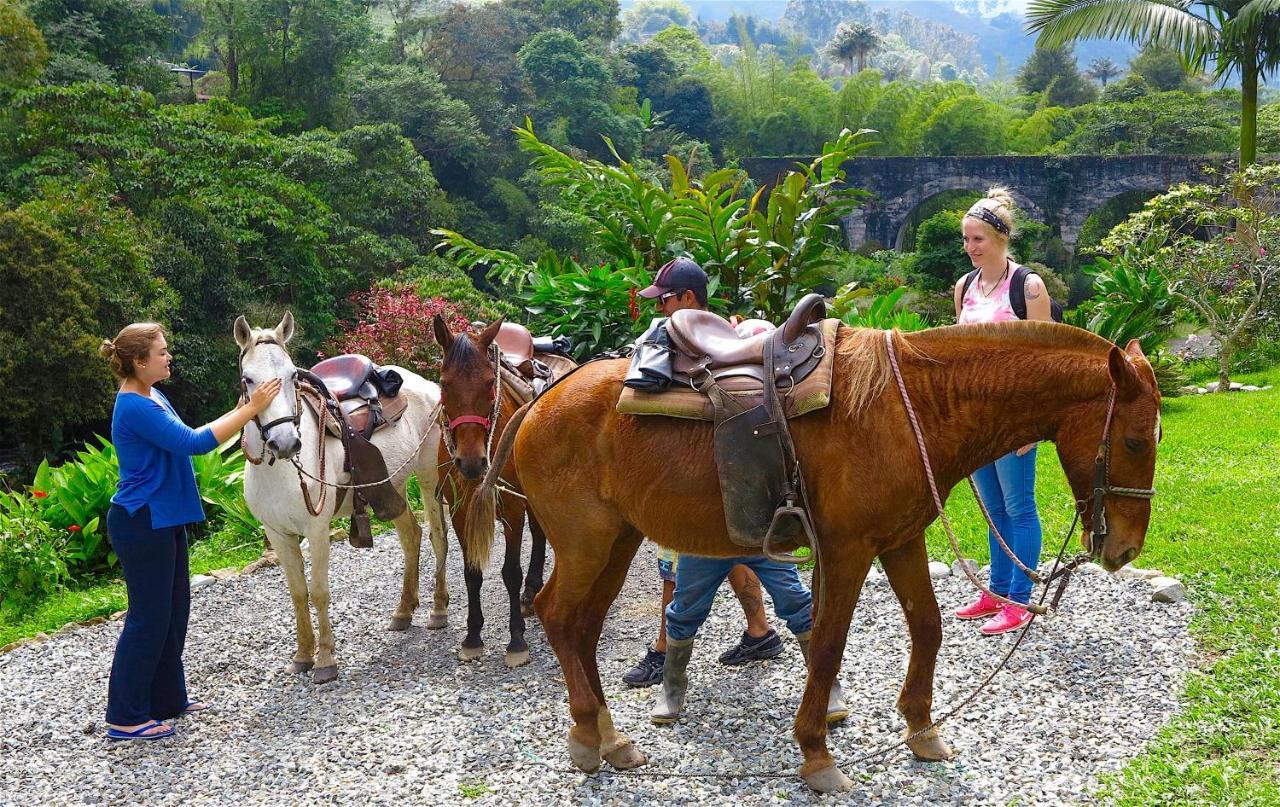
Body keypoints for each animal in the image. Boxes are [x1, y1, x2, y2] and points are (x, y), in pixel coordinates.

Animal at [235, 312, 450, 686]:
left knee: (438, 536)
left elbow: (319, 590)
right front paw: (302, 656)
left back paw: (437, 609)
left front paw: (325, 660)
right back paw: (403, 611)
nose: (285, 442)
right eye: (249, 379)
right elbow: (298, 593)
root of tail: (427, 385)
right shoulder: (279, 536)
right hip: (391, 487)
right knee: (411, 535)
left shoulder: (317, 530)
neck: (281, 470)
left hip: (428, 477)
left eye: (293, 375)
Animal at [432, 316, 568, 671]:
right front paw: (472, 636)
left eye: (489, 383)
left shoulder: (511, 509)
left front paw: (517, 639)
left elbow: (510, 573)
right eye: (444, 383)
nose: (471, 462)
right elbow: (472, 573)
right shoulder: (460, 512)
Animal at [468, 318, 1162, 794]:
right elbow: (827, 643)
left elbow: (928, 627)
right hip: (585, 542)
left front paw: (921, 730)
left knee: (582, 628)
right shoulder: (849, 549)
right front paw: (817, 754)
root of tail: (540, 400)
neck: (913, 406)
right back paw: (591, 737)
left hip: (617, 541)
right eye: (1133, 439)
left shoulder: (900, 540)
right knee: (559, 617)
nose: (1125, 547)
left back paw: (610, 740)